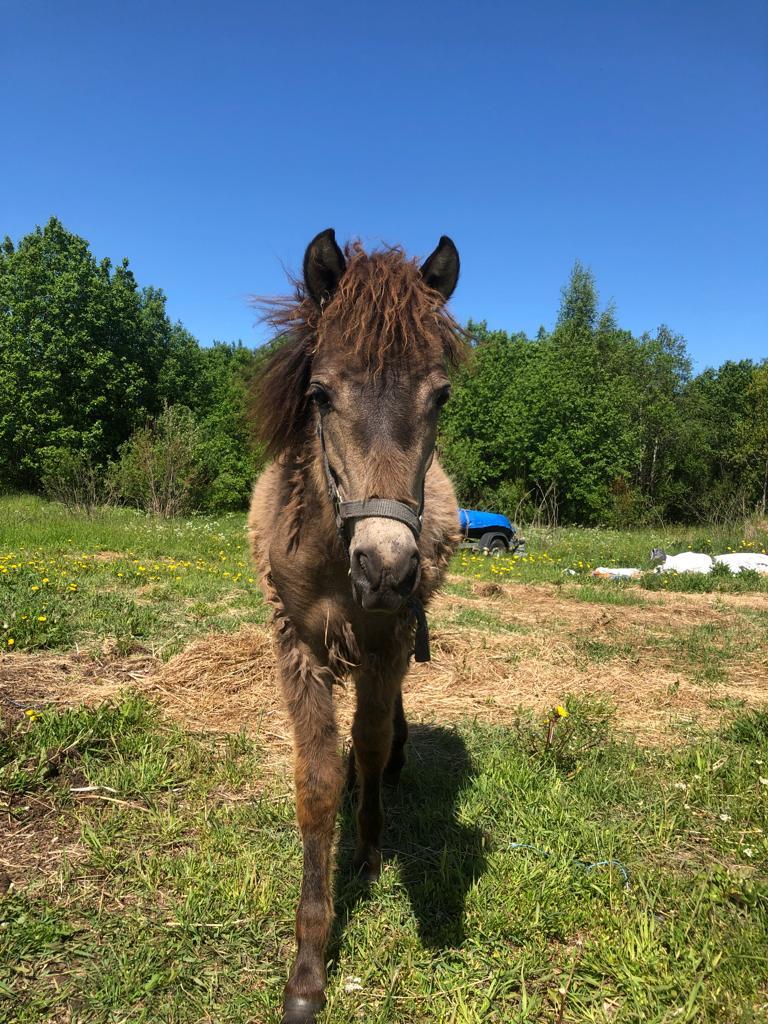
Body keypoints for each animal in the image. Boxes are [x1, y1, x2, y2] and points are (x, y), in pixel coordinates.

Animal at [249, 232, 466, 1024]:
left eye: (439, 396)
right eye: (319, 395)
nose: (387, 567)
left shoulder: (383, 641)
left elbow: (368, 745)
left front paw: (371, 853)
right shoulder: (299, 649)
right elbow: (314, 784)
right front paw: (307, 969)